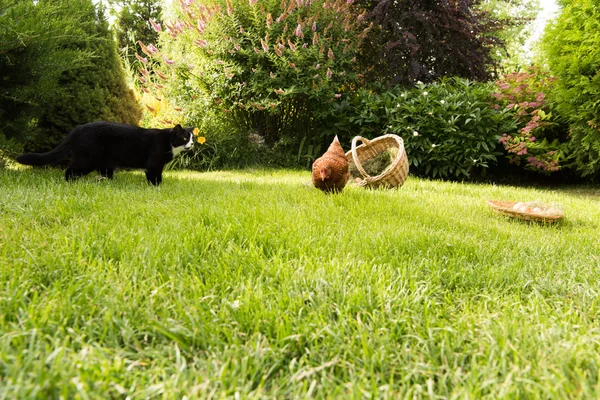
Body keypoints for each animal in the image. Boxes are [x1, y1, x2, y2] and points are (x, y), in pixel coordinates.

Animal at [16, 121, 195, 185]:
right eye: (185, 137)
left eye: (193, 137)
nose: (192, 144)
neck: (168, 143)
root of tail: (78, 129)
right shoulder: (154, 164)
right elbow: (155, 177)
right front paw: (157, 187)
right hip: (86, 159)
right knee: (70, 171)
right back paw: (71, 183)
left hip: (104, 163)